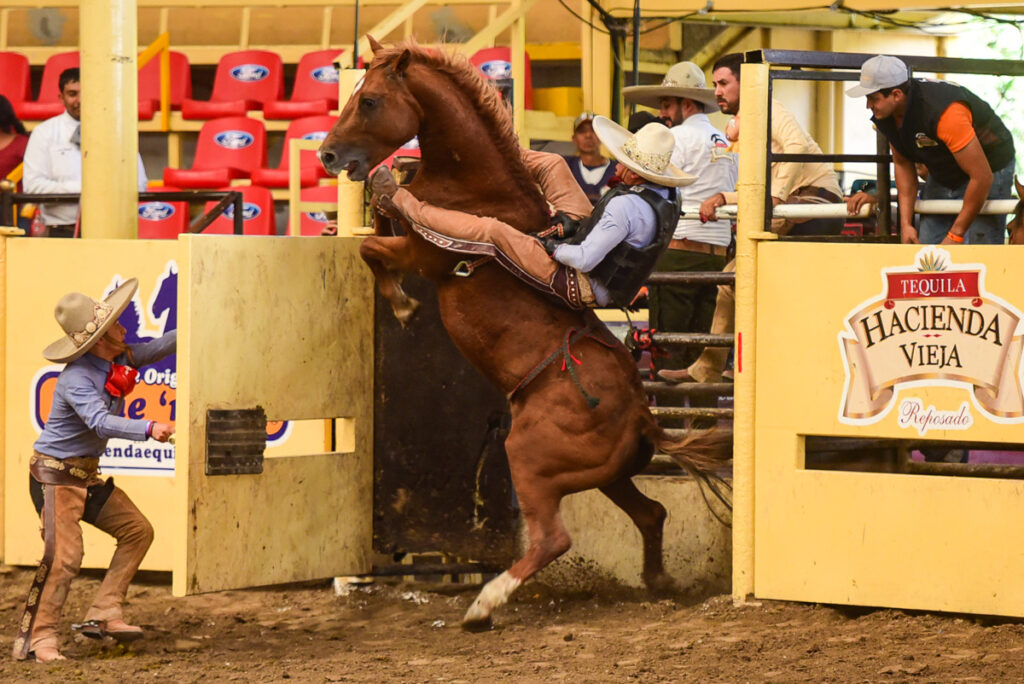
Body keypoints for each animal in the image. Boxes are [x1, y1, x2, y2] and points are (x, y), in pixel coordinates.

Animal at [319, 36, 729, 626]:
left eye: (370, 100)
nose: (328, 156)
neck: (472, 185)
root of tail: (643, 415)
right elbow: (374, 235)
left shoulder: (423, 254)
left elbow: (372, 249)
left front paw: (402, 306)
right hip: (609, 475)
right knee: (652, 513)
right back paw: (657, 581)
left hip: (530, 459)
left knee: (554, 539)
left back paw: (484, 604)